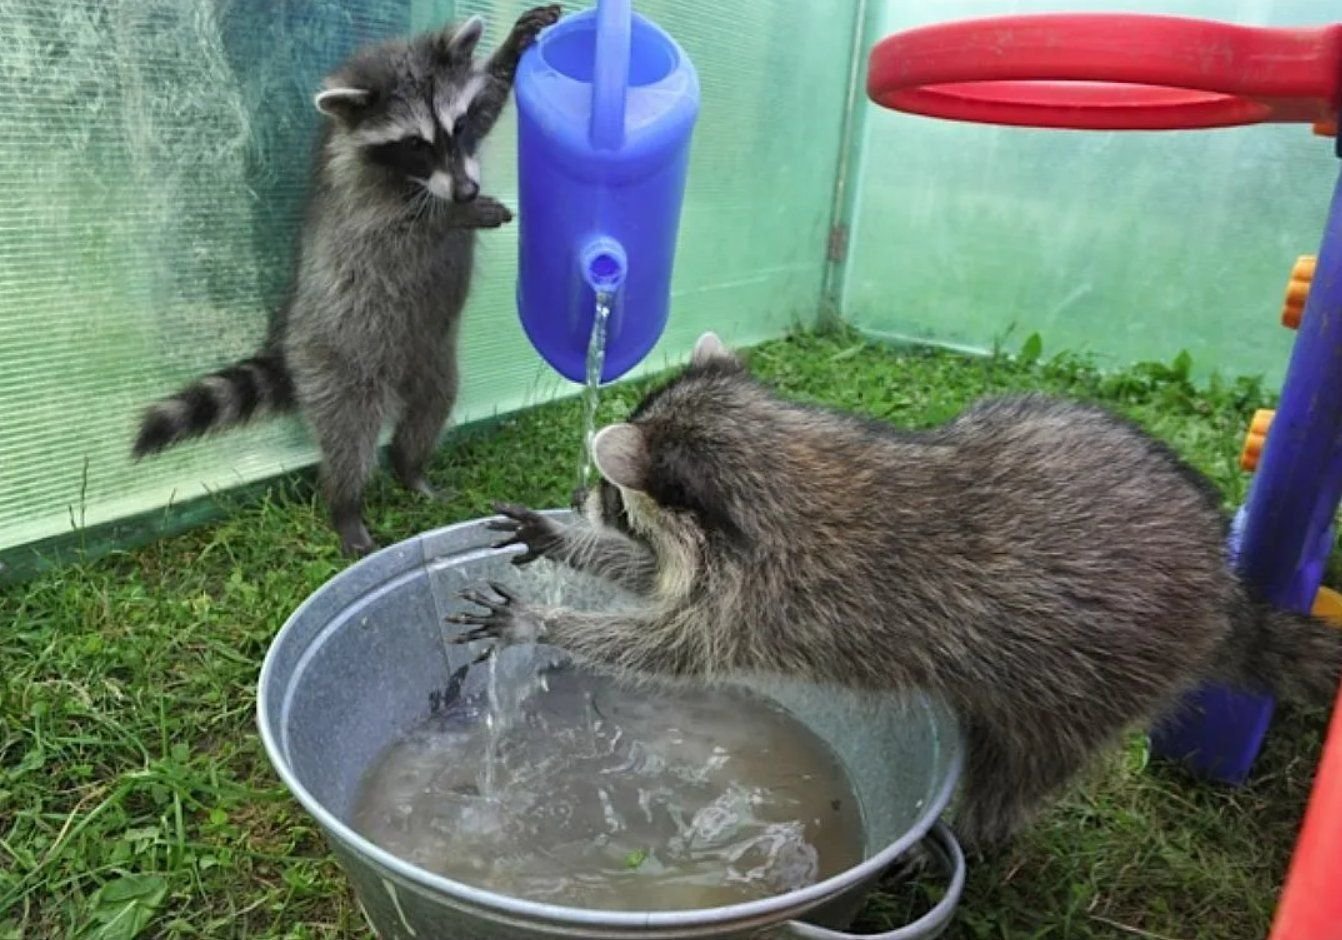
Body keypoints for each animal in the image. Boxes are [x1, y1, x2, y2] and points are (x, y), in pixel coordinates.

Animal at [140, 7, 566, 553]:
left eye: (457, 125)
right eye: (414, 145)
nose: (467, 191)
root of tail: (290, 344)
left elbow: (489, 100)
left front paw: (513, 44)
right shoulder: (354, 195)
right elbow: (391, 235)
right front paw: (451, 216)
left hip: (431, 359)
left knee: (430, 409)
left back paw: (411, 468)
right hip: (339, 362)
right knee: (349, 439)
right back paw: (345, 506)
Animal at [456, 331, 1342, 854]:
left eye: (614, 492)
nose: (583, 502)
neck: (775, 460)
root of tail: (1226, 588)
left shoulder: (770, 596)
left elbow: (669, 645)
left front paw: (547, 619)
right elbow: (650, 581)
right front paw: (573, 548)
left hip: (1096, 680)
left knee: (1016, 774)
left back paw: (974, 834)